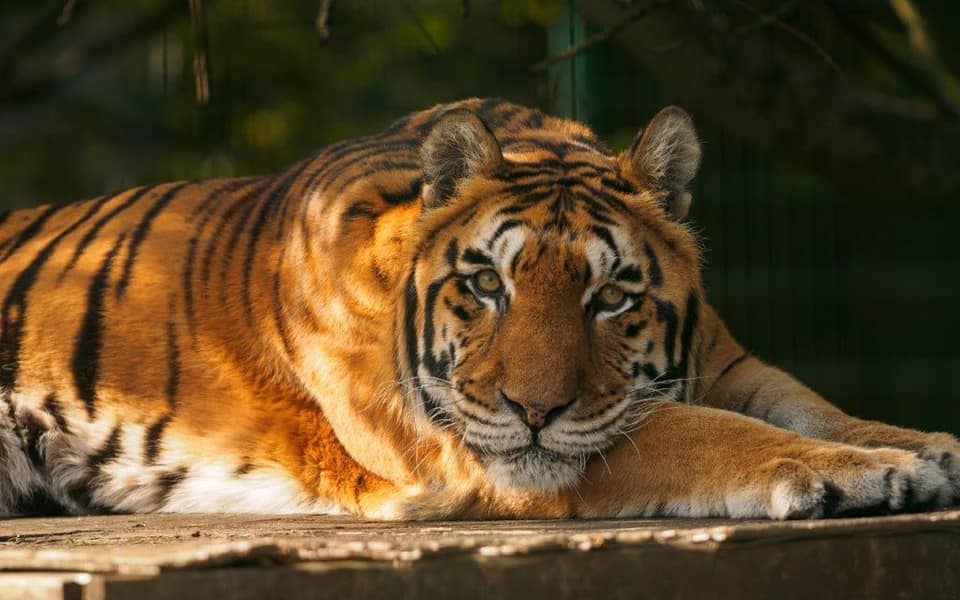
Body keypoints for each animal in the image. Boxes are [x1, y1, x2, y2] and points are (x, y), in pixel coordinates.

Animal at [0, 97, 957, 520]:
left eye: (611, 297)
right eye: (488, 286)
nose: (534, 410)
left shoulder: (727, 363)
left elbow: (810, 406)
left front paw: (921, 447)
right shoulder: (470, 448)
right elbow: (699, 434)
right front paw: (865, 473)